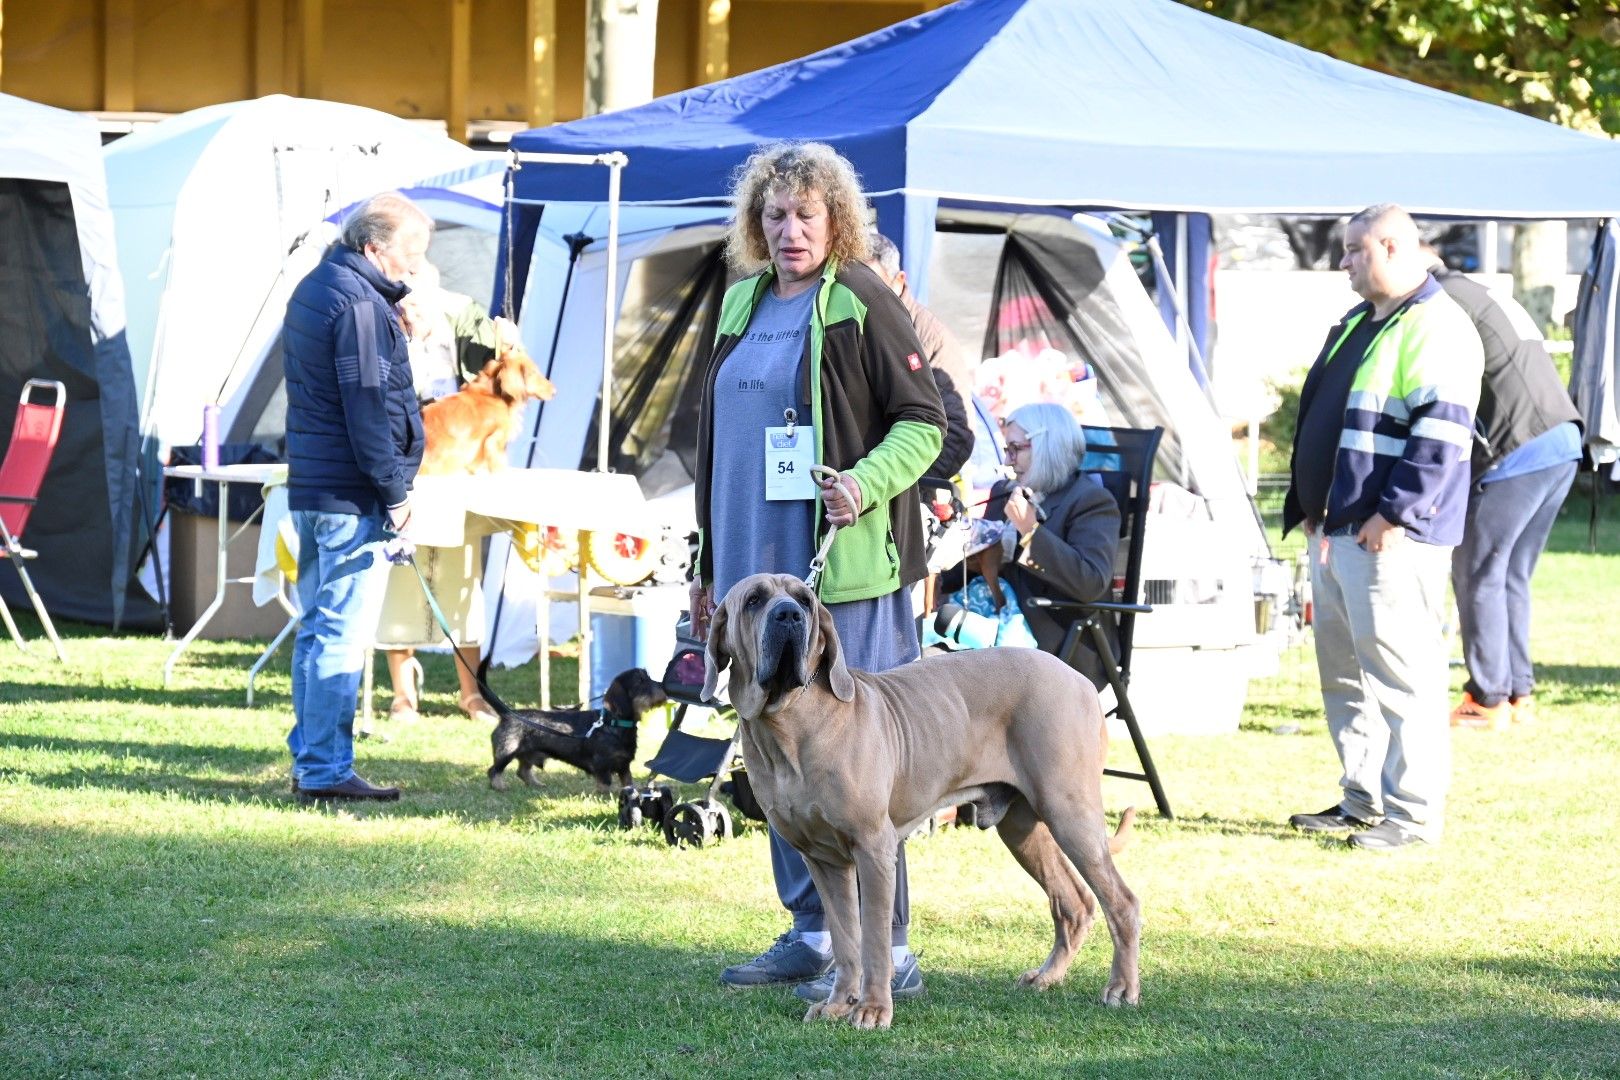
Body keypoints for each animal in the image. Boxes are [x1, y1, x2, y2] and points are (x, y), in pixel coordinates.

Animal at [703, 573, 1146, 1029]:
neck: (789, 723)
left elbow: (873, 939)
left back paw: (1122, 988)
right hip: (1023, 827)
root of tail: (1081, 680)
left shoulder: (874, 849)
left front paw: (872, 1008)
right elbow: (845, 940)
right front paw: (838, 1003)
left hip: (1069, 811)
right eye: (754, 601)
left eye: (805, 601)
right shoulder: (823, 861)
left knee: (1122, 901)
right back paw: (1046, 977)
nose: (789, 615)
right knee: (1073, 903)